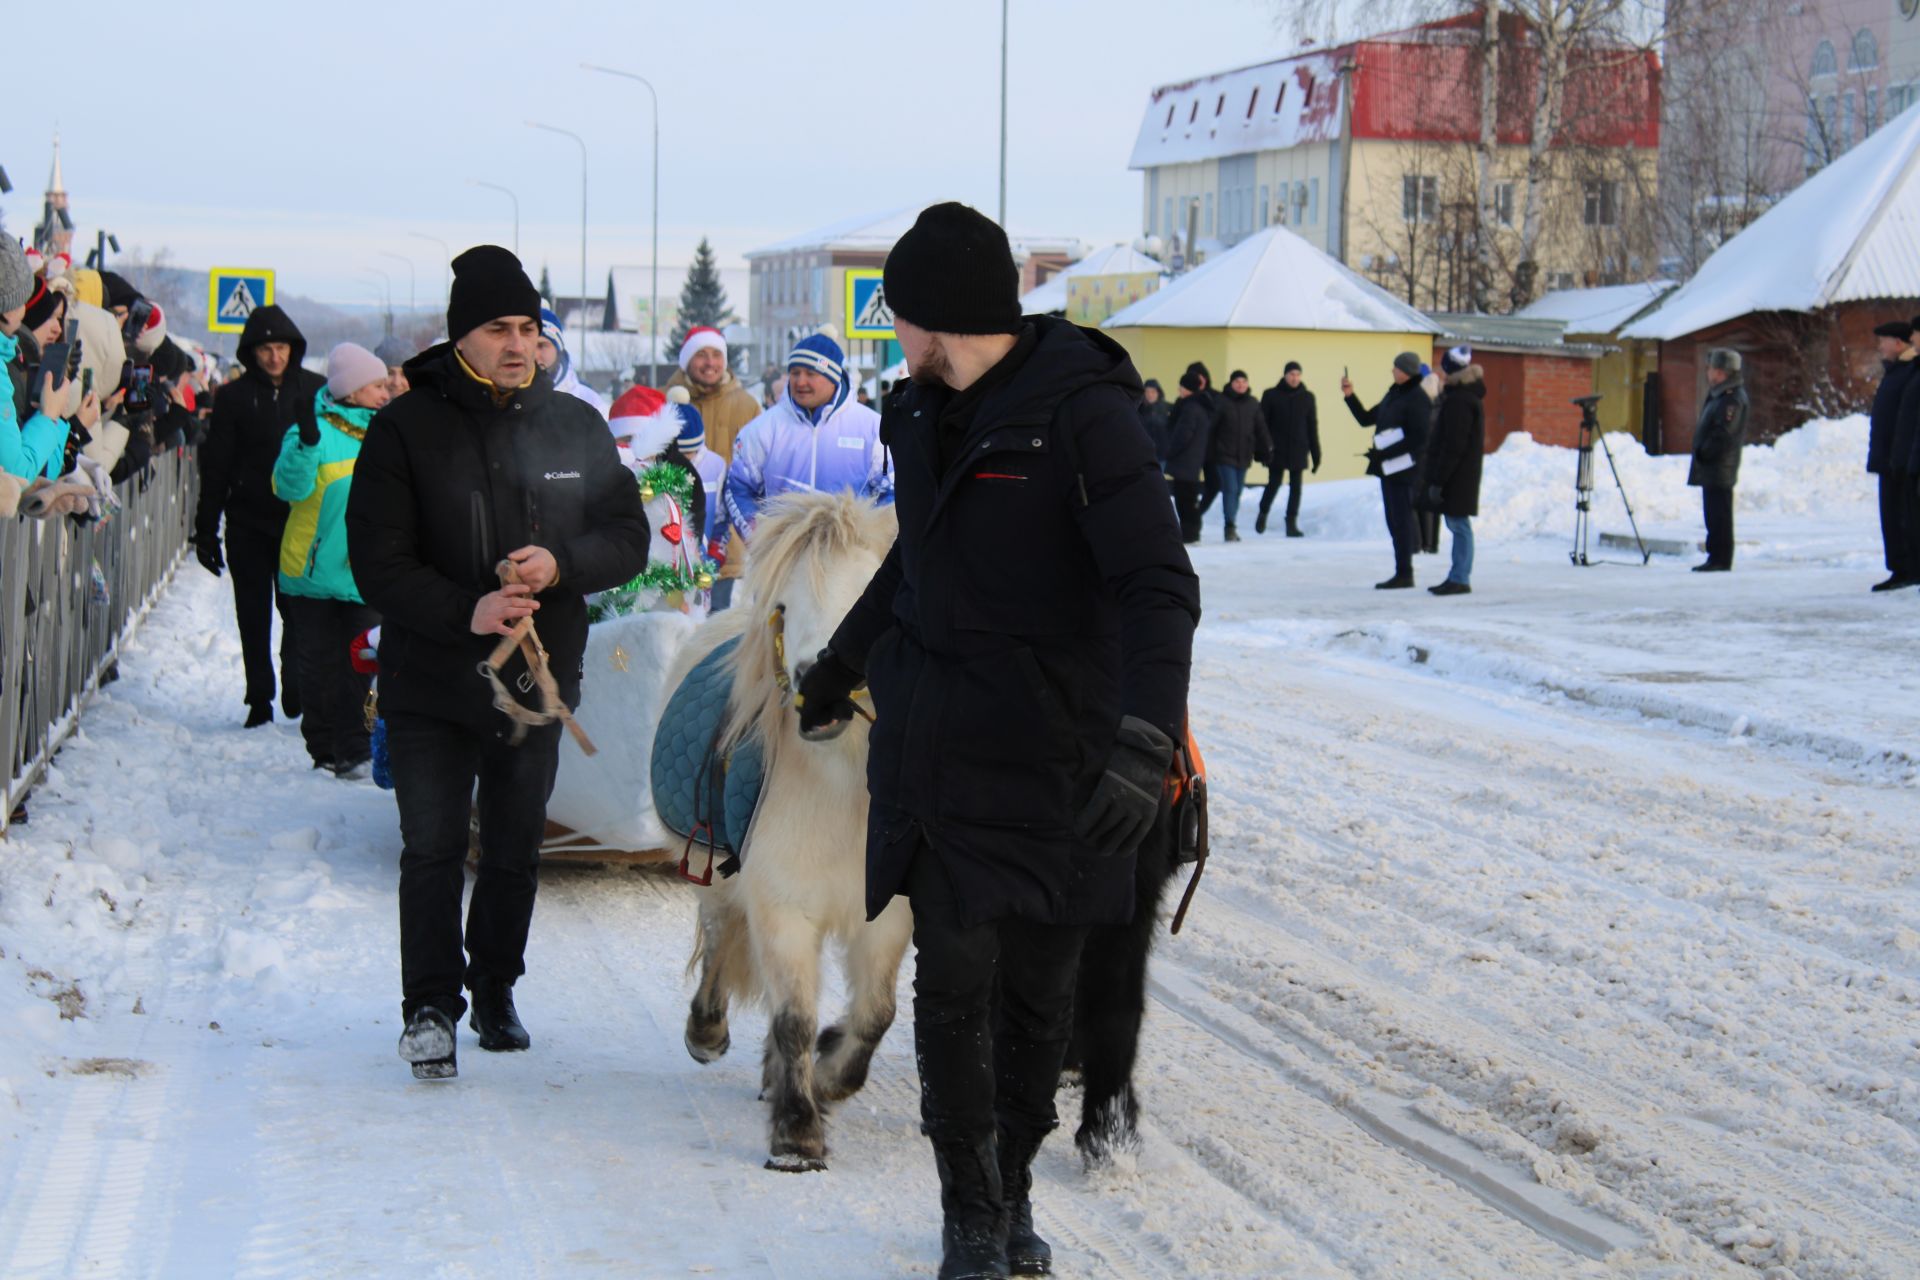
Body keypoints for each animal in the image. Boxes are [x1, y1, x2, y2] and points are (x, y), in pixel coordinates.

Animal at [660, 491, 913, 1174]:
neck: (842, 794)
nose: (819, 700)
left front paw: (824, 1082)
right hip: (719, 872)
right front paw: (798, 1137)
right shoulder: (784, 911)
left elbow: (874, 1015)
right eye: (785, 607)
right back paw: (706, 1033)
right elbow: (795, 1019)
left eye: (864, 599)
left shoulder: (885, 918)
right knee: (720, 932)